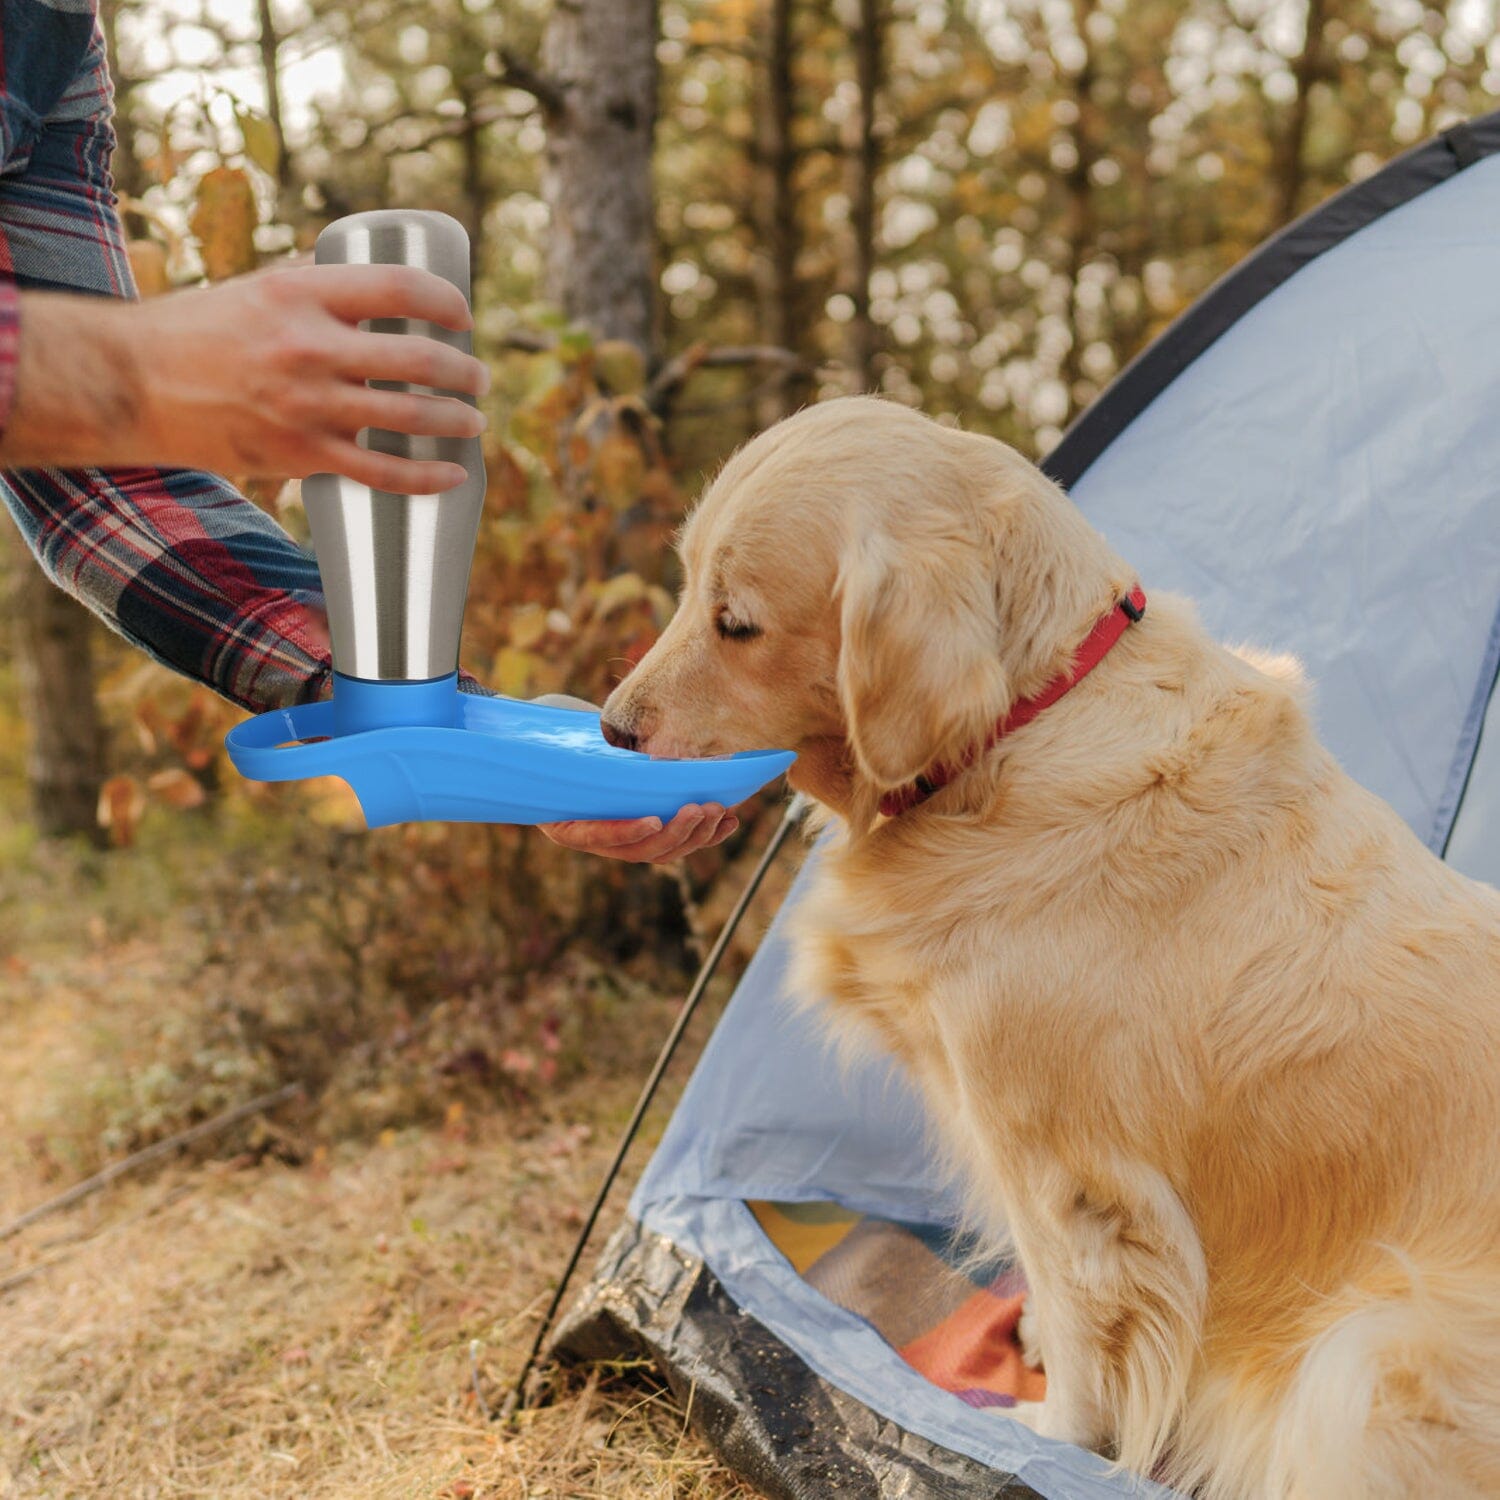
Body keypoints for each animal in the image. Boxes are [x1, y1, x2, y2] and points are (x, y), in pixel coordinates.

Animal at [597, 393, 1500, 1494]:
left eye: (737, 622)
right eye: (688, 587)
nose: (612, 729)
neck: (1022, 728)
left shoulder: (1070, 1174)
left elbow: (1082, 1329)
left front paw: (1044, 1435)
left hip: (1363, 1360)